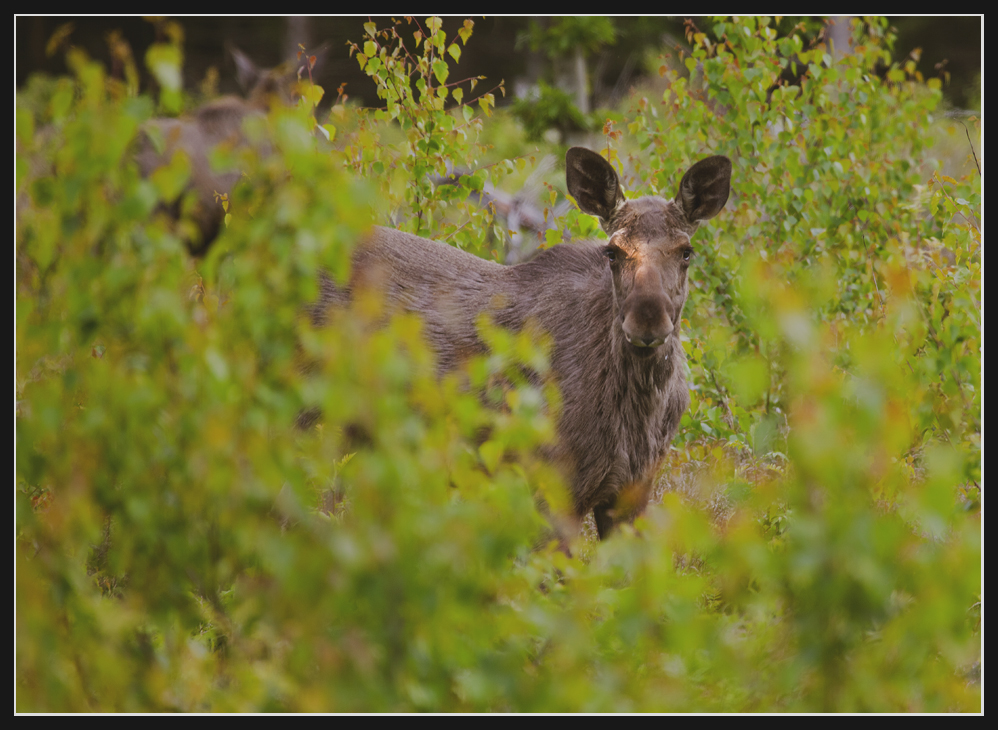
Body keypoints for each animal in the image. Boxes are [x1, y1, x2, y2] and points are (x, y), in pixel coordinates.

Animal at [320, 148, 736, 536]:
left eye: (686, 251)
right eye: (612, 252)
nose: (647, 320)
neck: (641, 411)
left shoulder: (632, 494)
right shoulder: (553, 487)